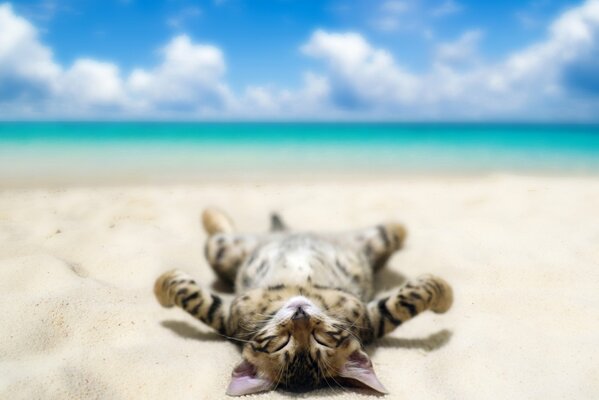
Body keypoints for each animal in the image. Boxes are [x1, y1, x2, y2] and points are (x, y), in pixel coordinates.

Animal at [152, 208, 452, 396]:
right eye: (281, 343)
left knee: (389, 234)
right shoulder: (228, 316)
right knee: (221, 239)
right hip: (225, 250)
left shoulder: (368, 317)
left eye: (322, 339)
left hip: (369, 242)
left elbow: (402, 304)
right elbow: (197, 300)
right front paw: (161, 286)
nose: (300, 315)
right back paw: (212, 214)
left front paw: (445, 295)